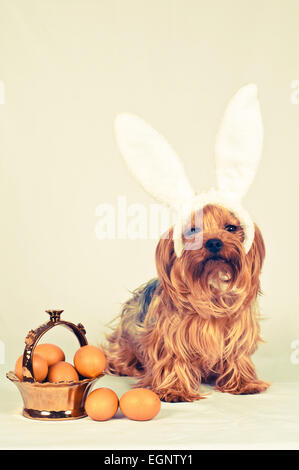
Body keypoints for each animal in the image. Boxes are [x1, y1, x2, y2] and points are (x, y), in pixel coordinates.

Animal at [102, 83, 270, 400]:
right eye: (192, 230)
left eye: (231, 227)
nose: (214, 242)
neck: (210, 283)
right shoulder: (170, 333)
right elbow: (172, 356)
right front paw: (174, 389)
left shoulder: (237, 331)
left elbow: (237, 353)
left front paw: (244, 383)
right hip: (128, 332)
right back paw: (123, 365)